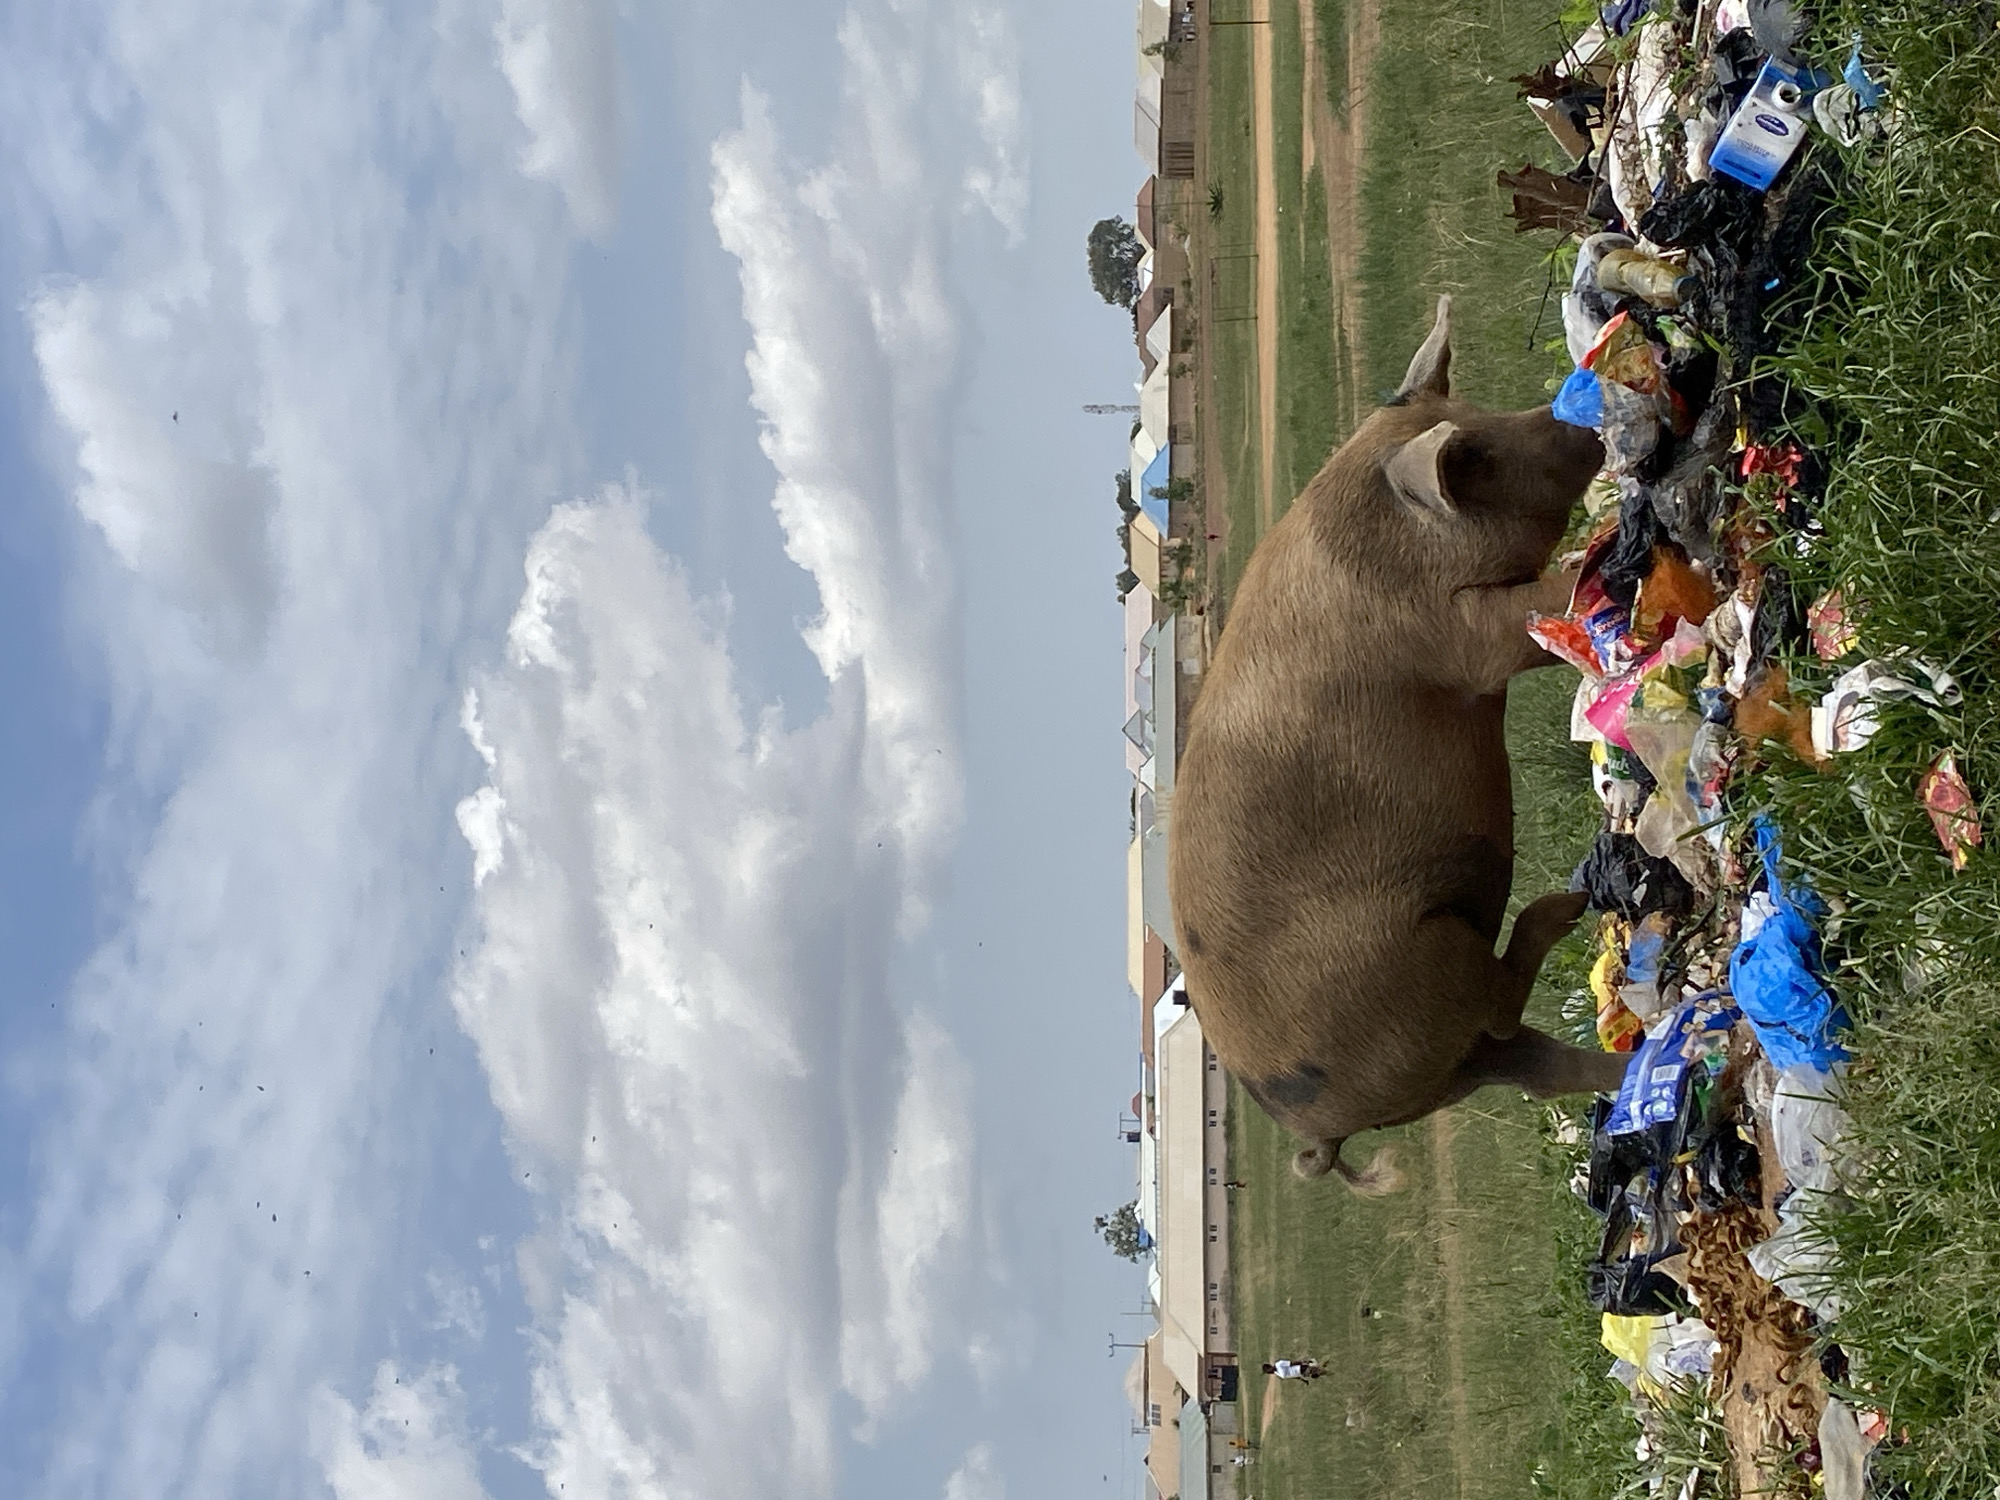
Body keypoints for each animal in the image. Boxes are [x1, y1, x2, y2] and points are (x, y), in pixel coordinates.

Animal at [1166, 294, 1631, 1191]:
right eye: (1475, 456)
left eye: (1479, 414)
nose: (1583, 422)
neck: (1383, 545)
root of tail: (1318, 1127)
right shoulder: (1461, 636)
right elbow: (1534, 609)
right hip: (1428, 969)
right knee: (1505, 1004)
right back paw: (1561, 908)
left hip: (1448, 1063)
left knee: (1537, 1065)